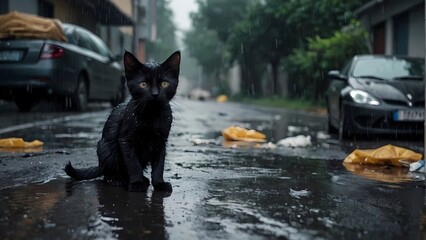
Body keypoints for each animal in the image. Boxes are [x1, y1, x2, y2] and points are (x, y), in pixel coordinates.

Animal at [63, 50, 180, 193]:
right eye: (143, 84)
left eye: (164, 84)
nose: (155, 94)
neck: (152, 116)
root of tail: (100, 165)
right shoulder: (126, 140)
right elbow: (133, 163)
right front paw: (136, 183)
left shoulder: (161, 141)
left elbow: (159, 165)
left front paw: (159, 184)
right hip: (106, 148)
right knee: (108, 174)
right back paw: (118, 180)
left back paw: (142, 179)